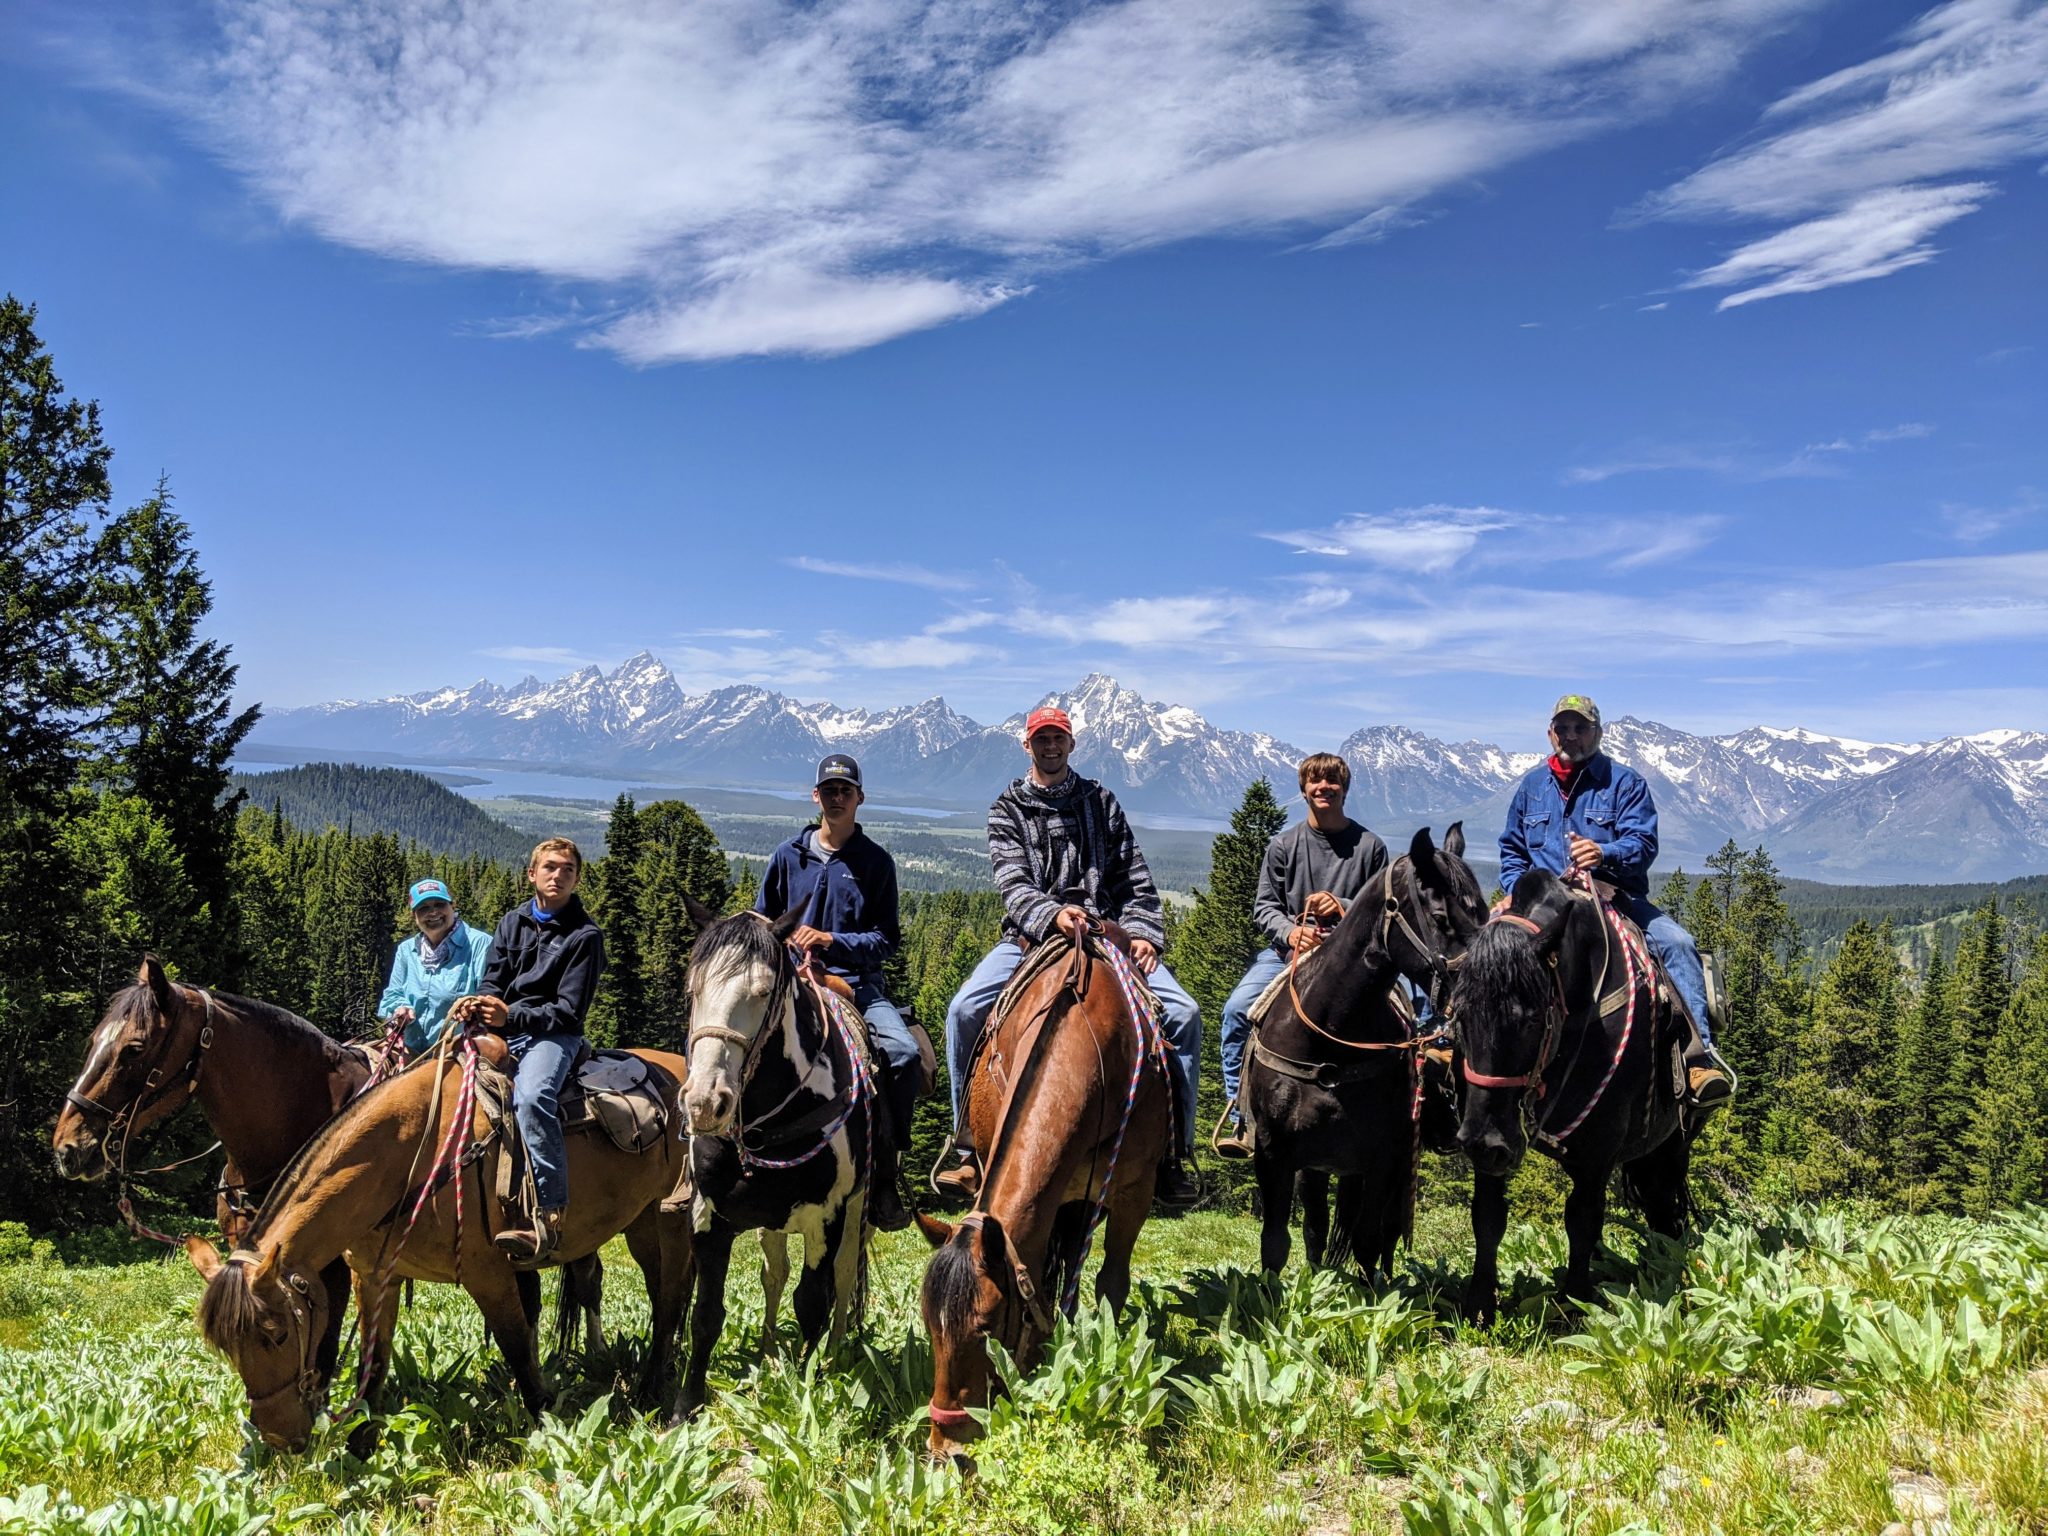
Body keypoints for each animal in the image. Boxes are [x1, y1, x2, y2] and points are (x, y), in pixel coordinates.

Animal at [671, 901, 864, 1417]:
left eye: (761, 992)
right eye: (692, 989)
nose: (705, 1103)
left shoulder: (826, 1218)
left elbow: (813, 1302)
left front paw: (806, 1390)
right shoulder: (709, 1218)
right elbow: (706, 1314)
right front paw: (685, 1407)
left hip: (857, 1212)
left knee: (842, 1279)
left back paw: (835, 1354)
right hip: (771, 1225)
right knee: (773, 1275)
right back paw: (769, 1349)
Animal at [1245, 831, 1490, 1286]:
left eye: (1482, 913)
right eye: (1441, 916)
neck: (1330, 1038)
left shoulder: (1382, 1158)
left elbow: (1368, 1241)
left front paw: (1371, 1297)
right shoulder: (1275, 1153)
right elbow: (1278, 1241)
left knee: (1386, 1233)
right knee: (1318, 1226)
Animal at [1441, 868, 1695, 1327]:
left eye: (1531, 1019)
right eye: (1460, 1014)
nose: (1483, 1142)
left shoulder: (1597, 1155)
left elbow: (1582, 1221)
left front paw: (1576, 1305)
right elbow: (1487, 1216)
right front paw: (1480, 1305)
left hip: (1674, 1144)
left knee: (1665, 1208)